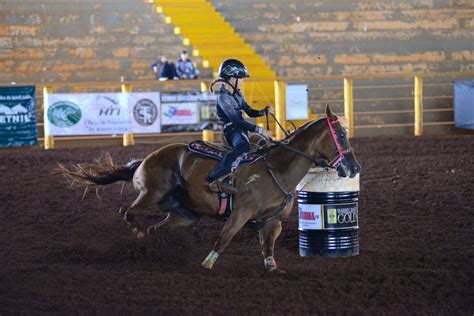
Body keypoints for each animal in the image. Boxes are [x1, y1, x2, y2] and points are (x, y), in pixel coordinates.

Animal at [61, 104, 362, 272]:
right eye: (341, 134)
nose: (354, 167)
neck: (275, 168)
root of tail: (145, 159)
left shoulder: (272, 221)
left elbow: (268, 247)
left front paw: (273, 269)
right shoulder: (241, 212)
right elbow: (225, 238)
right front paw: (207, 264)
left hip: (185, 214)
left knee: (158, 227)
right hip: (150, 193)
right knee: (128, 212)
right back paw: (139, 236)